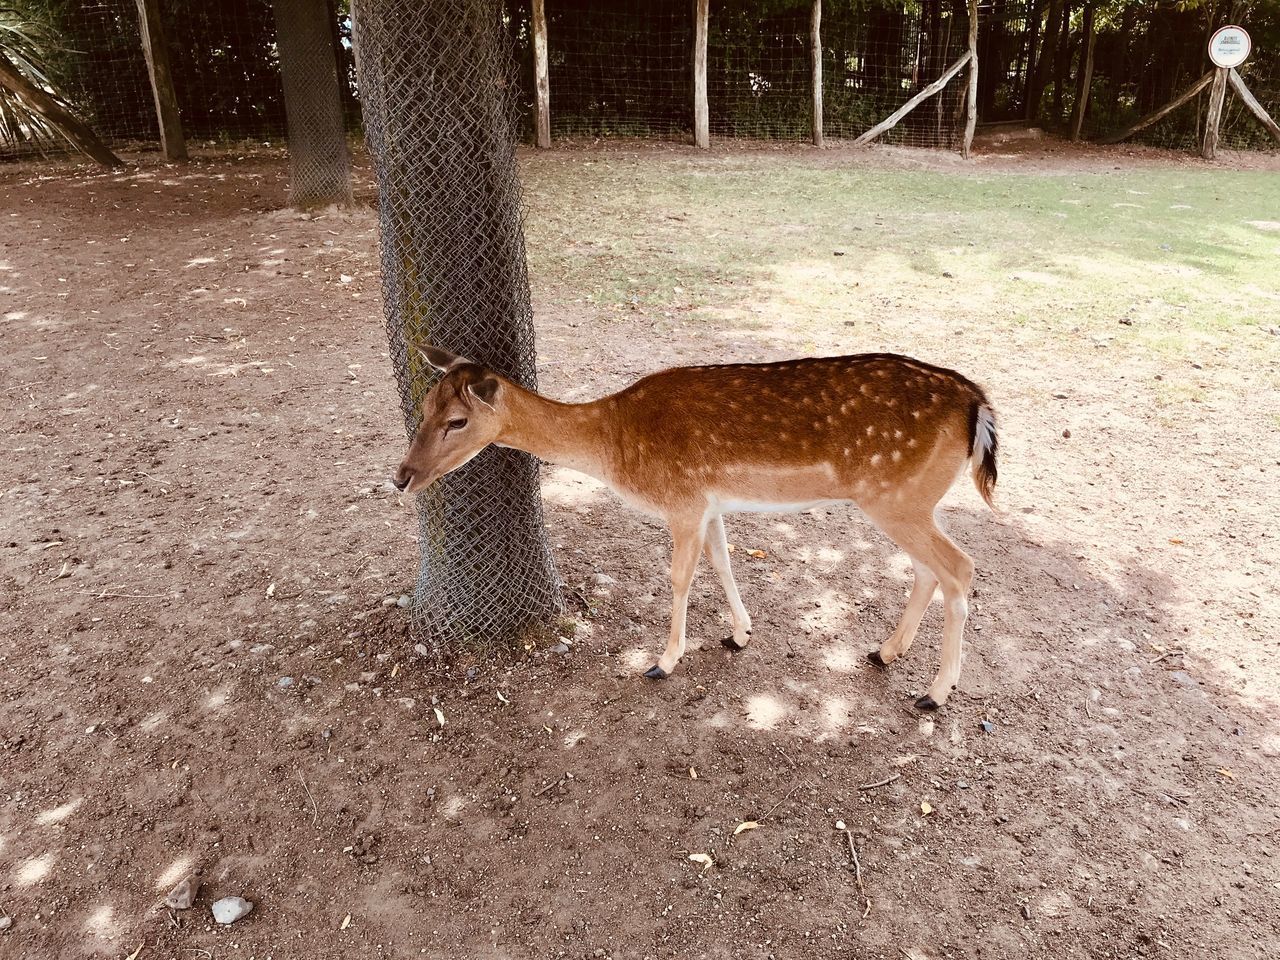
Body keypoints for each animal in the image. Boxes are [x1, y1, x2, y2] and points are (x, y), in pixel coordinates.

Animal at [391, 343, 998, 711]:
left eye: (457, 420)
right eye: (423, 405)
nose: (401, 476)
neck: (613, 444)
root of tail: (978, 404)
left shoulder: (682, 501)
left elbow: (680, 576)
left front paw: (662, 661)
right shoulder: (709, 504)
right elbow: (722, 560)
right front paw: (739, 633)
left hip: (897, 497)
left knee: (961, 567)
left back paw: (935, 692)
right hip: (906, 501)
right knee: (928, 569)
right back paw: (884, 652)